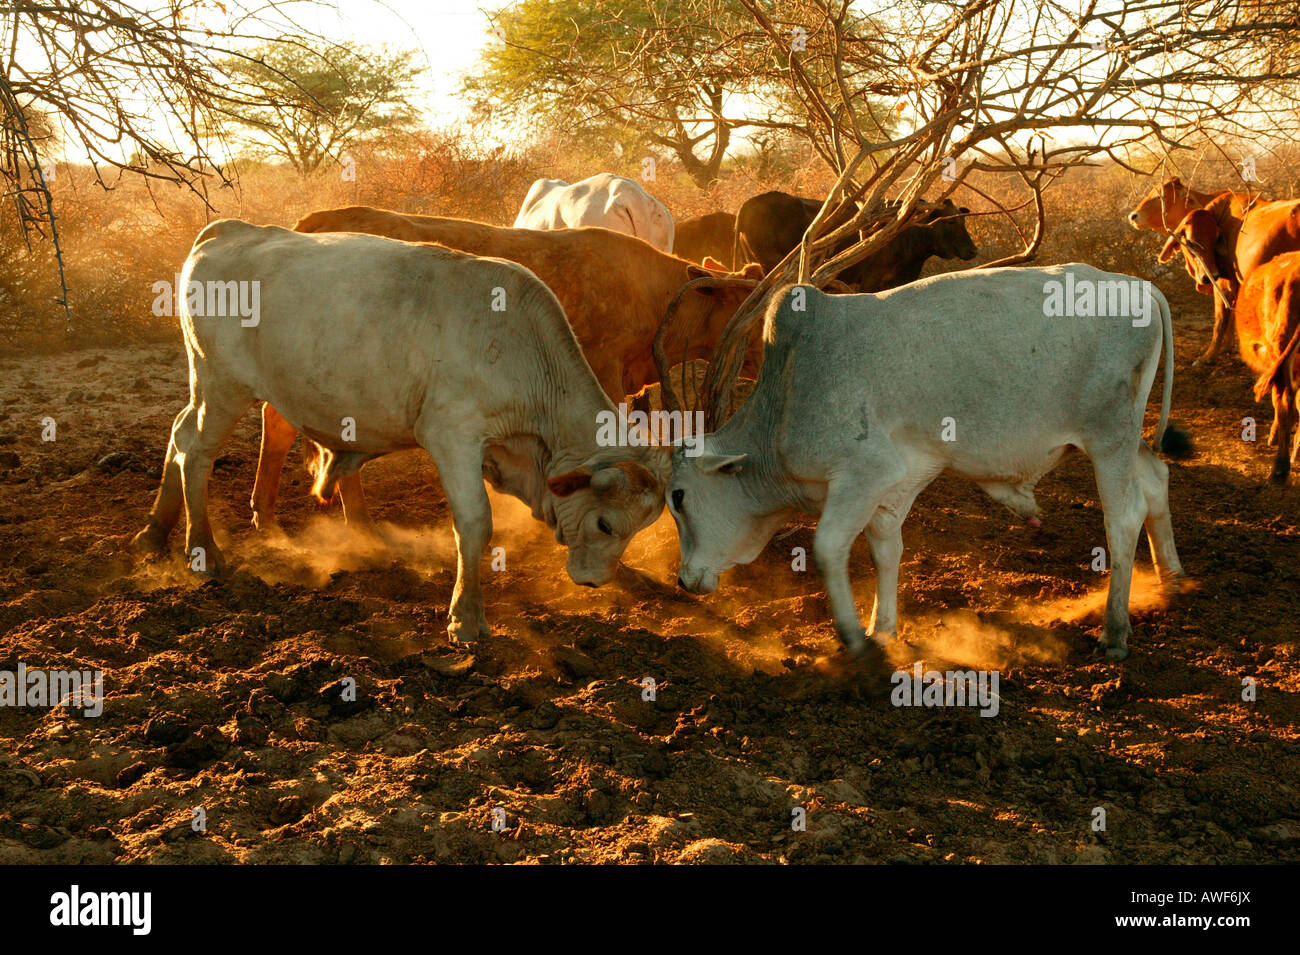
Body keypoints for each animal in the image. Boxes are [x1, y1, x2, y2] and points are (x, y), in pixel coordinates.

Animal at [134, 222, 670, 641]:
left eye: (638, 528)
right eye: (606, 524)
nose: (594, 582)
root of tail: (229, 229)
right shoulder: (453, 436)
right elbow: (475, 524)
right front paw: (466, 617)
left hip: (210, 389)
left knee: (178, 435)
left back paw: (153, 533)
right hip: (221, 385)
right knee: (196, 453)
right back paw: (203, 551)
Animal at [670, 265, 1190, 660]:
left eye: (678, 497)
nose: (683, 579)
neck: (786, 393)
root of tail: (1140, 287)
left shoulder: (863, 473)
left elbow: (828, 549)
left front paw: (855, 640)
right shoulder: (898, 480)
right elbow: (885, 548)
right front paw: (883, 630)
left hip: (1108, 439)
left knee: (1123, 519)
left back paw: (1115, 631)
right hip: (1126, 439)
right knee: (1156, 479)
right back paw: (1172, 580)